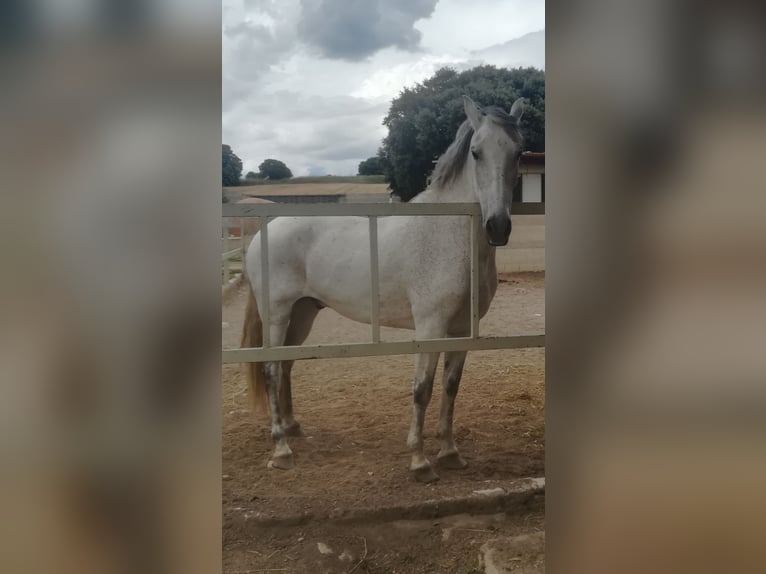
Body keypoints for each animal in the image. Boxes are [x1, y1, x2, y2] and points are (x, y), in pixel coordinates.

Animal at [242, 97, 528, 484]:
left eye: (518, 152)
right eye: (476, 152)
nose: (497, 226)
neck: (447, 235)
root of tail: (264, 232)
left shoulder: (463, 331)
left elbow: (451, 386)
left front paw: (450, 452)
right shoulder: (430, 329)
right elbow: (422, 389)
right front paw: (420, 462)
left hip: (302, 314)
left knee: (286, 366)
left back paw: (293, 428)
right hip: (277, 314)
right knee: (271, 371)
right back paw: (281, 449)